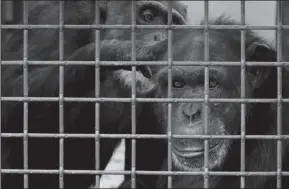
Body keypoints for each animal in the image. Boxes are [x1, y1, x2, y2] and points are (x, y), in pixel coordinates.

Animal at [0, 0, 187, 188]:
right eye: (148, 16)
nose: (161, 38)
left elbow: (145, 176)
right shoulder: (52, 19)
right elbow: (11, 94)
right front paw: (117, 51)